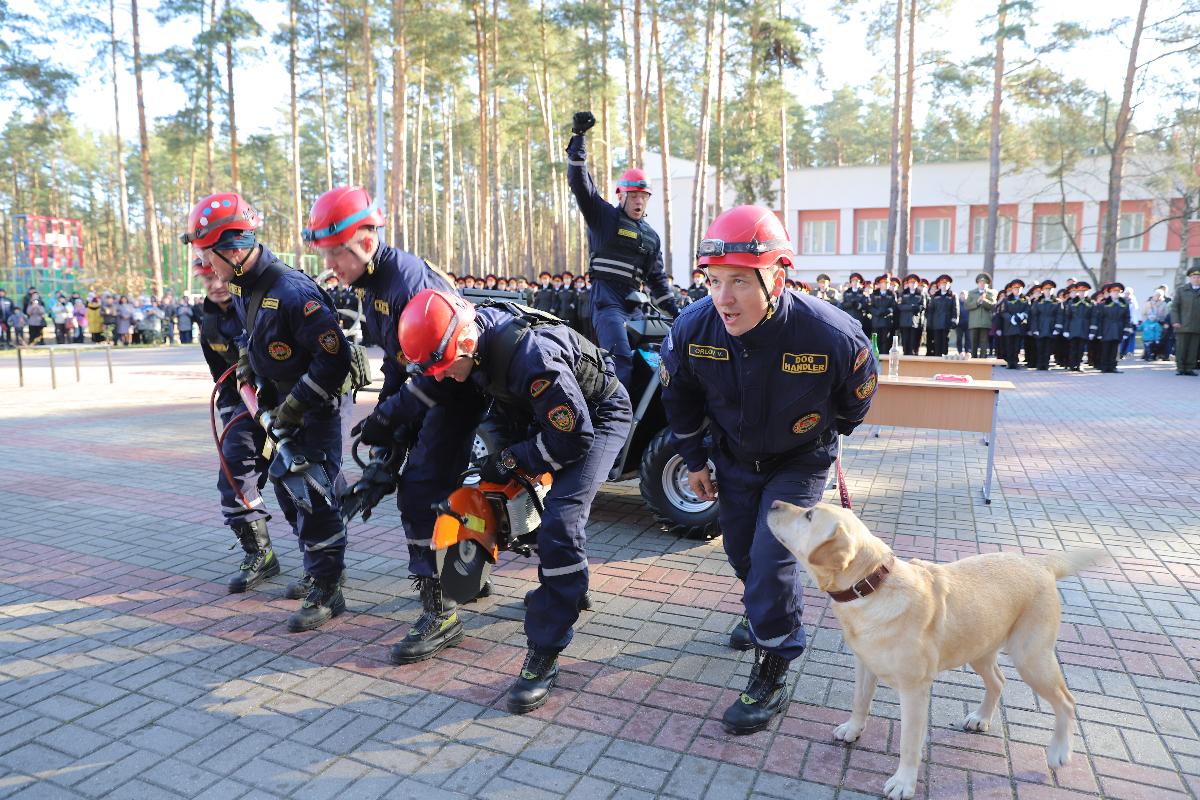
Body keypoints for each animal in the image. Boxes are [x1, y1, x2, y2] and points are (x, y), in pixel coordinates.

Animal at [768, 503, 1104, 796]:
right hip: (979, 649)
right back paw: (981, 718)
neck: (872, 585)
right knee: (999, 681)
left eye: (809, 515)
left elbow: (908, 743)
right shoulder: (864, 665)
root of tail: (1039, 562)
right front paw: (853, 729)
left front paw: (903, 783)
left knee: (1067, 701)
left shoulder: (915, 690)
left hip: (1031, 658)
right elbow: (859, 703)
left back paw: (1059, 751)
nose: (773, 503)